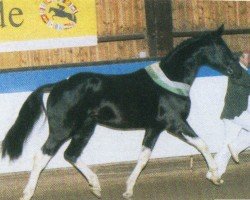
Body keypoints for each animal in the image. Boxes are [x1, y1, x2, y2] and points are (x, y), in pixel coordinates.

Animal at [0, 25, 242, 199]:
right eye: (222, 47)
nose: (238, 71)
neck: (171, 80)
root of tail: (57, 85)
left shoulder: (154, 128)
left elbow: (144, 157)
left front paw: (128, 189)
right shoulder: (176, 123)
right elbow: (202, 144)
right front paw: (215, 177)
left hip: (85, 129)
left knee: (71, 154)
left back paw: (96, 186)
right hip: (62, 130)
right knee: (42, 156)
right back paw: (27, 193)